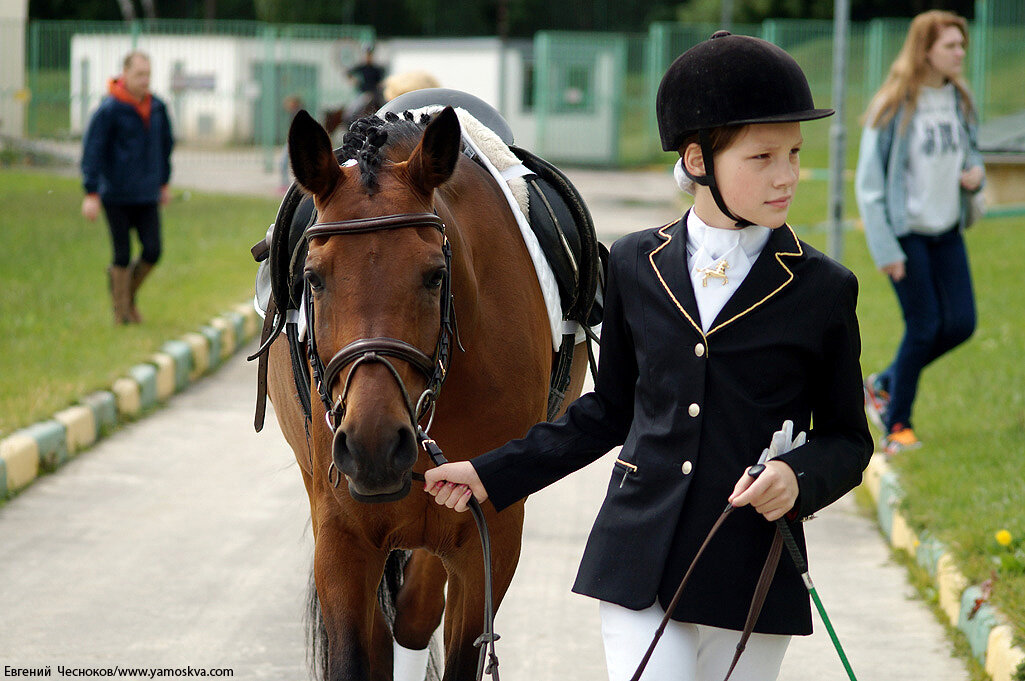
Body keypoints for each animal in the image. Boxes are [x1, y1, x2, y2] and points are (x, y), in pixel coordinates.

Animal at [264, 107, 586, 681]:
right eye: (313, 278)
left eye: (435, 276)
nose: (372, 446)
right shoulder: (342, 537)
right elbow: (357, 653)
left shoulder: (488, 535)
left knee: (415, 616)